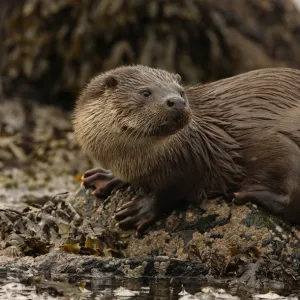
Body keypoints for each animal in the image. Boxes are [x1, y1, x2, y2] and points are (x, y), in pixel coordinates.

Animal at [72, 65, 300, 233]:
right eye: (145, 92)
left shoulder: (193, 158)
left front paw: (140, 210)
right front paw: (105, 177)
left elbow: (172, 190)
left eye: (181, 92)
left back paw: (245, 192)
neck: (127, 159)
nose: (177, 101)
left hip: (286, 148)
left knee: (292, 201)